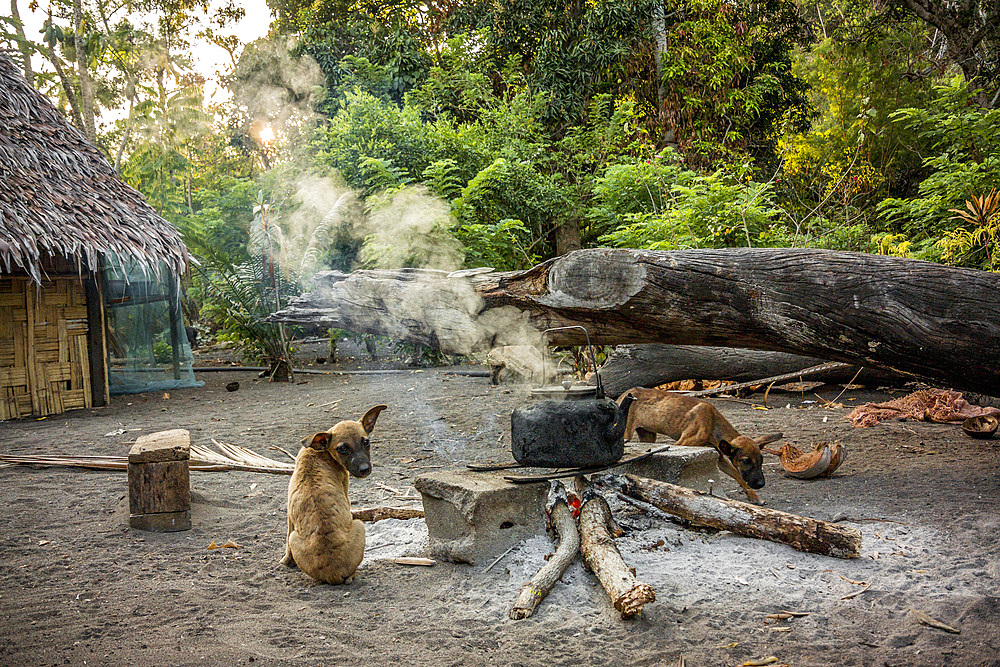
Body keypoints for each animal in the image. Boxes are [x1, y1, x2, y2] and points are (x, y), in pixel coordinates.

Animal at [286, 404, 390, 580]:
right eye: (342, 448)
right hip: (359, 524)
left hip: (295, 537)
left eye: (366, 442)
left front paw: (286, 561)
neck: (320, 453)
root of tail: (333, 573)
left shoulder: (289, 514)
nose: (365, 470)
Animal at [616, 388, 780, 504]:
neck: (713, 424)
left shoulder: (719, 456)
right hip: (626, 434)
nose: (761, 484)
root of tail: (622, 395)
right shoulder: (680, 443)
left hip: (648, 435)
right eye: (746, 461)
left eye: (762, 460)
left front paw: (754, 497)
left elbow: (738, 475)